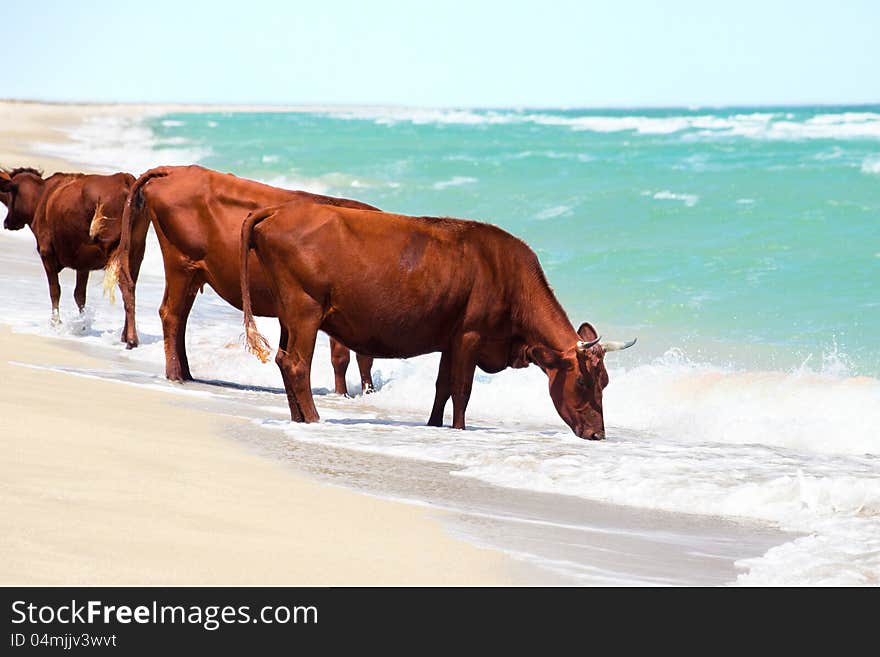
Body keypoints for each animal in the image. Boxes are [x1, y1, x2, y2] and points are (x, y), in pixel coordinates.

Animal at [0, 167, 135, 322]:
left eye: (10, 195)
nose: (6, 222)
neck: (41, 196)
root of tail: (124, 178)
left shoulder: (47, 253)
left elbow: (55, 290)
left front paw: (56, 322)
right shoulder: (83, 264)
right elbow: (79, 295)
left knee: (127, 287)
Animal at [115, 165, 376, 394]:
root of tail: (173, 169)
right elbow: (346, 356)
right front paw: (350, 394)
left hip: (193, 273)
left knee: (181, 318)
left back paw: (186, 373)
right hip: (181, 263)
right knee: (171, 314)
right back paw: (175, 375)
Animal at [241, 197, 636, 438]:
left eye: (605, 382)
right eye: (583, 381)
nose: (598, 434)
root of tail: (280, 210)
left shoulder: (451, 338)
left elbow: (442, 387)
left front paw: (434, 426)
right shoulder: (471, 335)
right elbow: (462, 389)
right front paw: (459, 430)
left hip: (288, 316)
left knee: (283, 360)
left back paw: (298, 418)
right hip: (305, 310)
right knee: (297, 364)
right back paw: (313, 418)